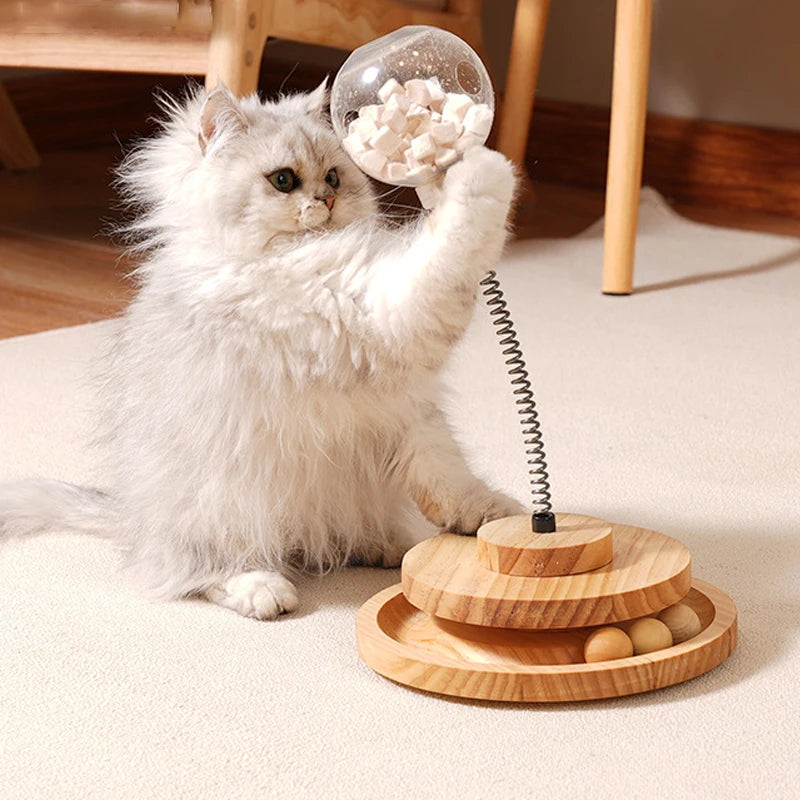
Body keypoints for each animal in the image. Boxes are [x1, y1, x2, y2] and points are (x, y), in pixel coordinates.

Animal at [0, 81, 524, 620]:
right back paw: (263, 589)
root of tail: (128, 515)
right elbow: (458, 236)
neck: (276, 258)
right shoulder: (390, 315)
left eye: (334, 176)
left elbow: (450, 478)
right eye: (283, 180)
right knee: (196, 571)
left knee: (345, 536)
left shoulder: (412, 409)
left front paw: (491, 517)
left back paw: (392, 544)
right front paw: (480, 164)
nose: (327, 198)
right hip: (220, 505)